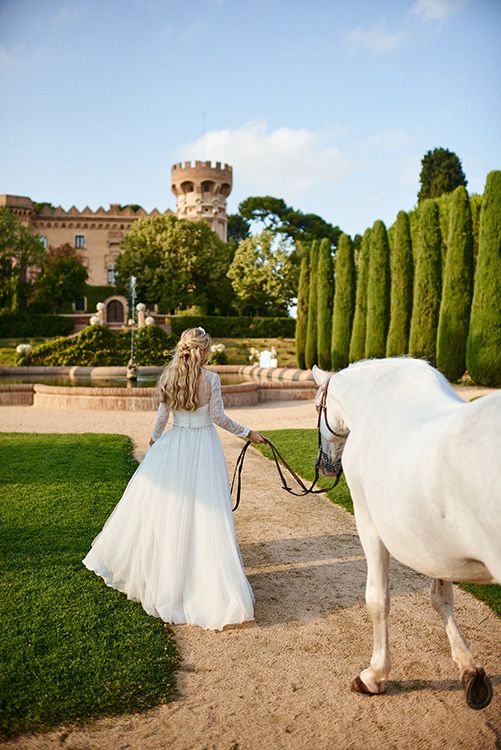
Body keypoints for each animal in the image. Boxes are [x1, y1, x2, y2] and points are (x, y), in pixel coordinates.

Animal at [312, 358, 500, 712]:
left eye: (318, 406)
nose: (323, 464)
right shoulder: (438, 548)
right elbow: (441, 598)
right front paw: (469, 670)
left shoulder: (369, 523)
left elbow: (377, 598)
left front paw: (374, 675)